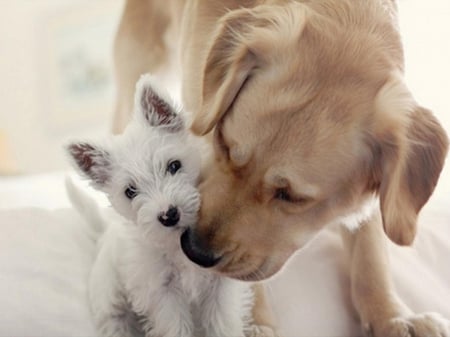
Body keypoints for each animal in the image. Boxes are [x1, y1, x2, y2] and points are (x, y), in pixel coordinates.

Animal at [66, 75, 258, 336]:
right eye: (130, 191)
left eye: (174, 166)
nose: (169, 215)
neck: (177, 243)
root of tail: (103, 235)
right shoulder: (163, 294)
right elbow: (175, 328)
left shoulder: (220, 288)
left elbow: (222, 324)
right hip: (111, 305)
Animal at [111, 1, 446, 334]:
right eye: (223, 143)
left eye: (291, 197)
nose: (193, 250)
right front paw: (250, 322)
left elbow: (370, 249)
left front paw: (391, 316)